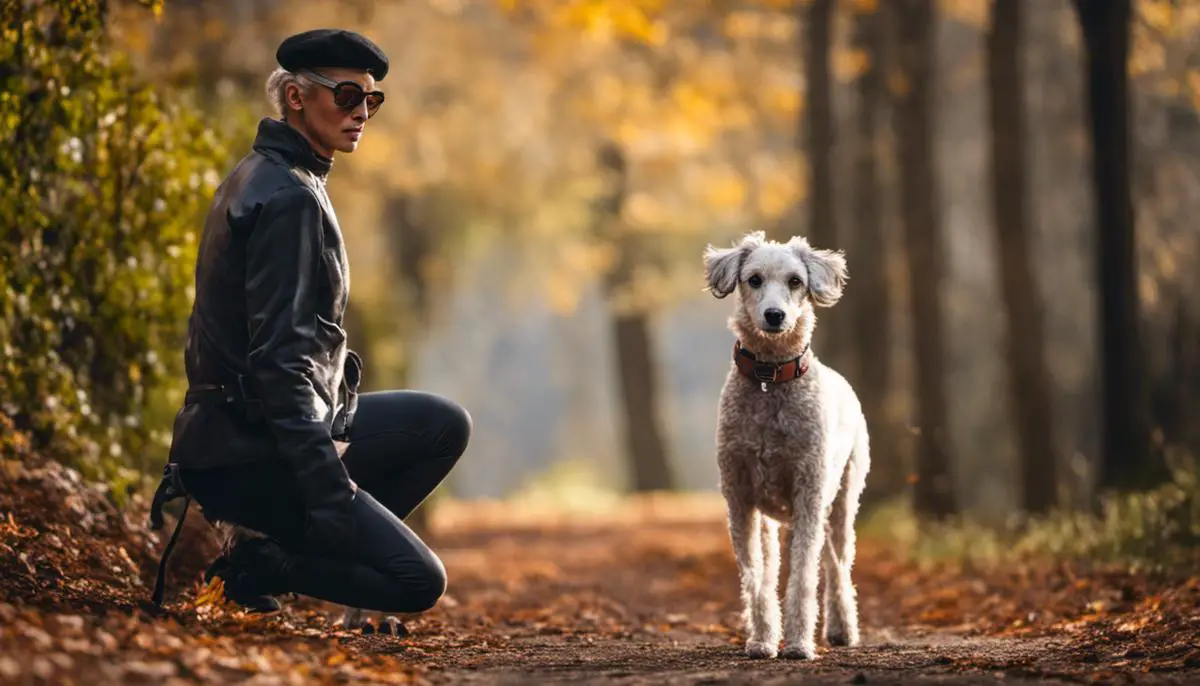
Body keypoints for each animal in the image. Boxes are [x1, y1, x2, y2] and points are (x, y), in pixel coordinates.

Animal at [700, 230, 873, 657]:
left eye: (795, 281)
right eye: (754, 279)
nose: (775, 315)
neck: (770, 377)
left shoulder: (808, 493)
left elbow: (803, 577)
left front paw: (797, 643)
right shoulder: (741, 498)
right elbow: (756, 577)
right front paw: (762, 639)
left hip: (841, 499)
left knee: (837, 565)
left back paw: (842, 628)